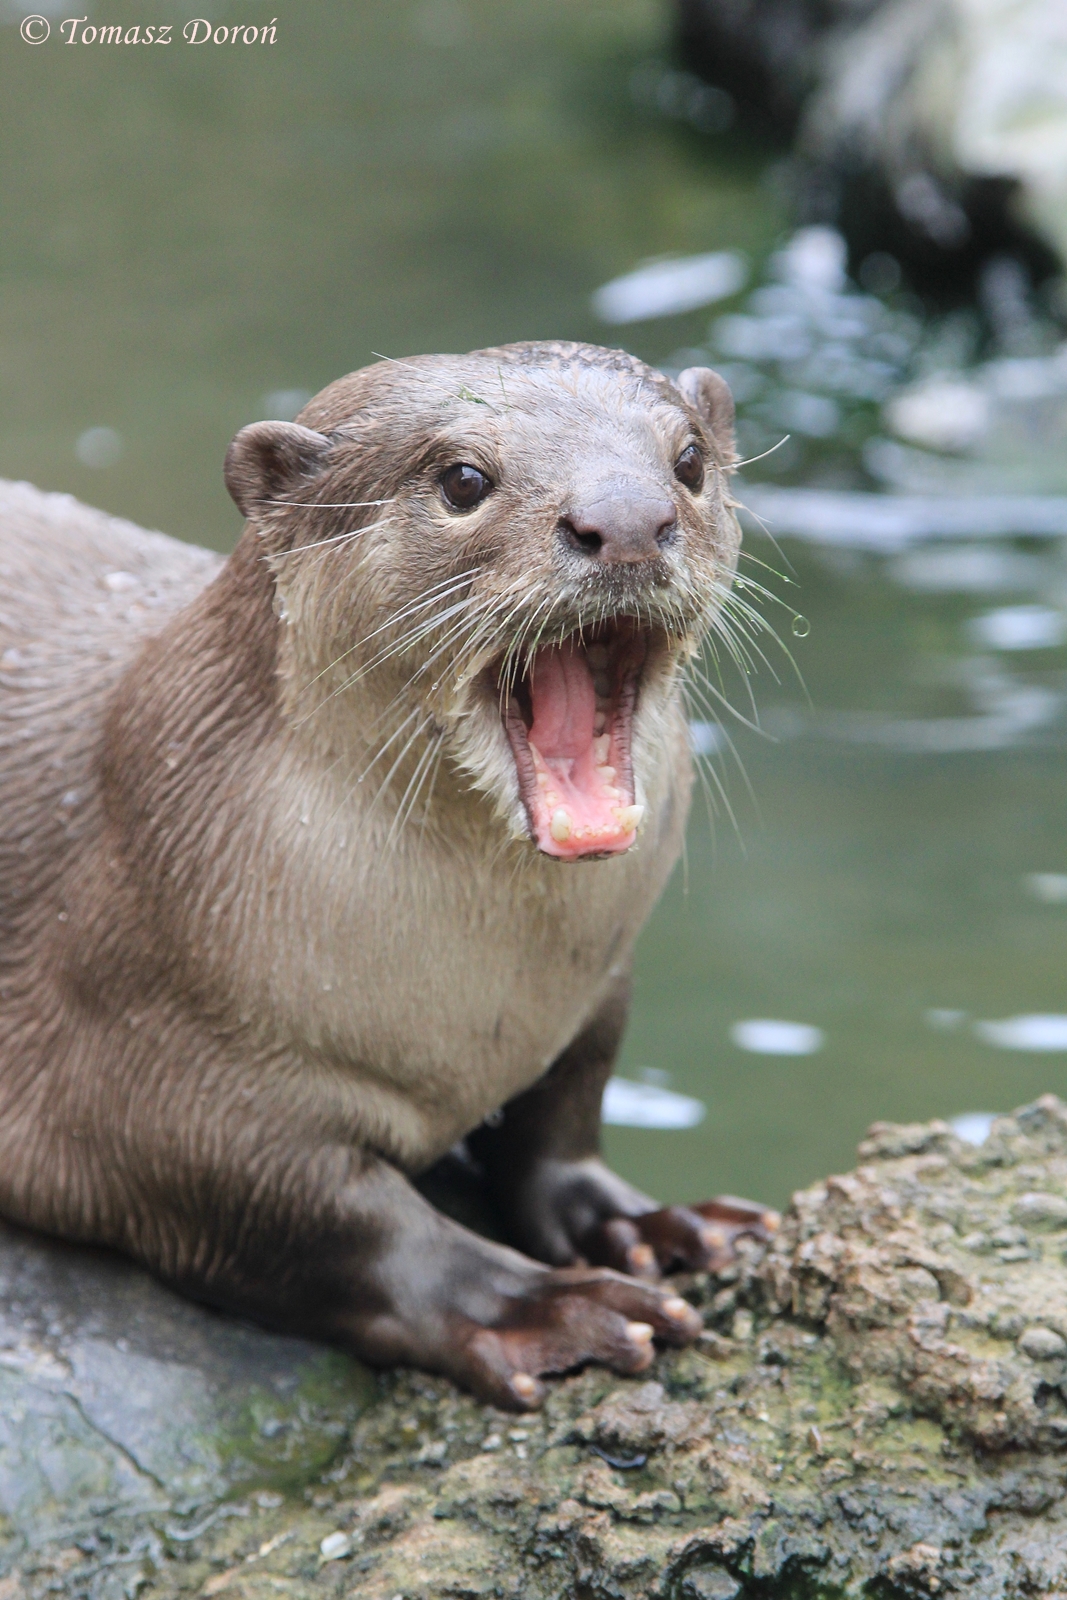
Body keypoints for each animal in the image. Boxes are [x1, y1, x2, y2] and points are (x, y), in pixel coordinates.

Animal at [0, 341, 773, 1409]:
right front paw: (541, 1305)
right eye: (463, 479)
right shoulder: (153, 1066)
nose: (625, 520)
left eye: (689, 460)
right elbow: (342, 1223)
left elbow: (564, 1119)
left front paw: (643, 1224)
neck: (484, 1001)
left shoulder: (599, 990)